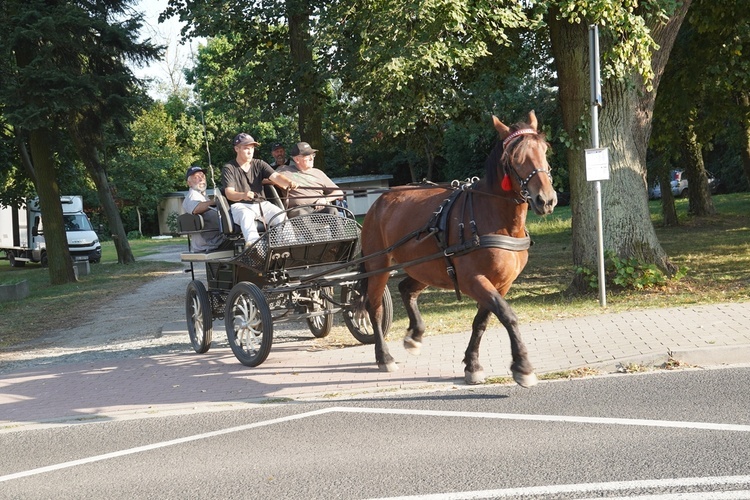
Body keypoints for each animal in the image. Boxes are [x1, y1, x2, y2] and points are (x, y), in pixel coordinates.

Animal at [358, 111, 560, 388]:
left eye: (544, 150)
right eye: (515, 158)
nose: (546, 200)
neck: (497, 219)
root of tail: (380, 200)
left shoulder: (501, 283)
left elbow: (482, 321)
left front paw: (472, 364)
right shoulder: (473, 279)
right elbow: (507, 314)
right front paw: (523, 366)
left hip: (426, 266)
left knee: (406, 289)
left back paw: (415, 335)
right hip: (378, 266)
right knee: (375, 307)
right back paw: (384, 356)